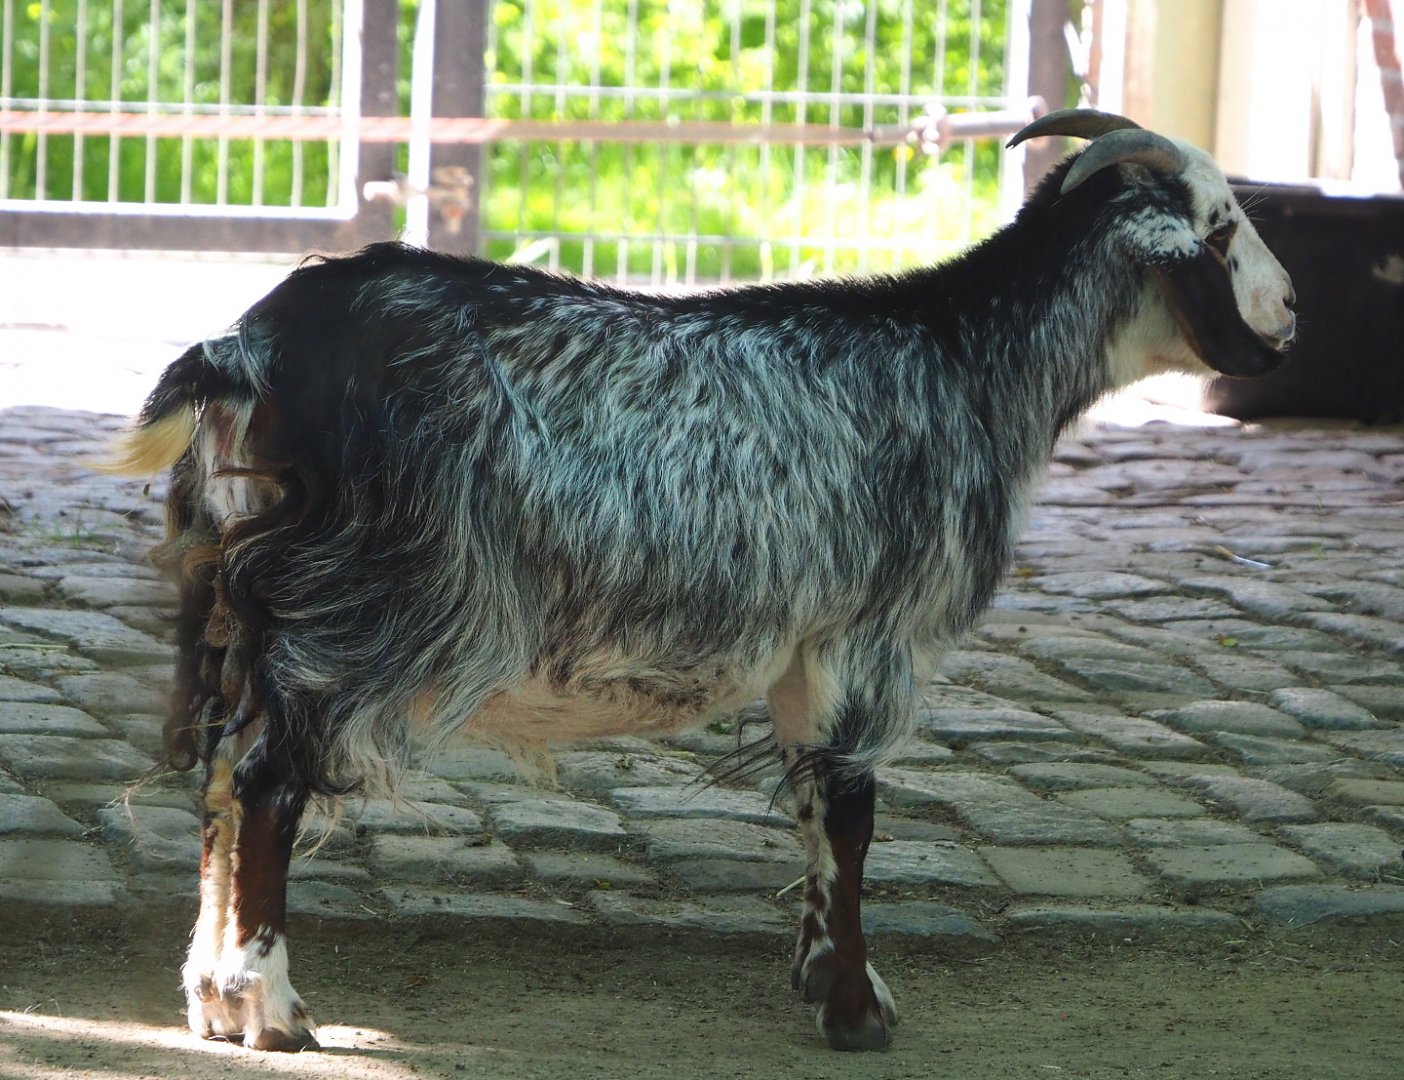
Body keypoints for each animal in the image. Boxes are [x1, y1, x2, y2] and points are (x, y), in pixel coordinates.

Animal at [113, 110, 1295, 1053]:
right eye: (1218, 229)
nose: (1290, 312)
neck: (962, 362)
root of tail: (247, 349)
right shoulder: (865, 632)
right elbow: (853, 809)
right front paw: (853, 1012)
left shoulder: (807, 650)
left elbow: (818, 812)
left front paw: (828, 975)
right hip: (373, 606)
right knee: (267, 779)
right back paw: (272, 1005)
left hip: (253, 606)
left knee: (219, 776)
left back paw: (212, 998)